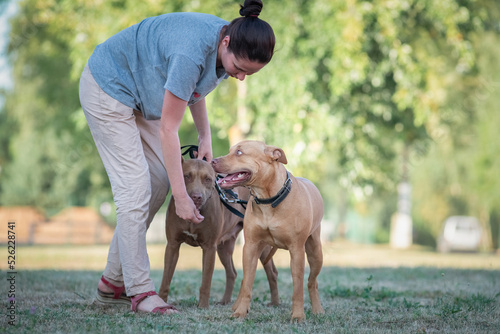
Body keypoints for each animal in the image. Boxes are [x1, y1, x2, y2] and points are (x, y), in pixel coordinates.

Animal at [158, 158, 280, 310]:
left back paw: (275, 302)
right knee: (232, 272)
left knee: (272, 273)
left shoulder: (209, 248)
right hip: (224, 248)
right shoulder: (172, 245)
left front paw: (203, 306)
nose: (197, 197)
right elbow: (165, 279)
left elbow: (206, 281)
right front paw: (162, 302)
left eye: (208, 179)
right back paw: (225, 301)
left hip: (260, 247)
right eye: (186, 176)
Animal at [213, 140, 326, 320]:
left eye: (239, 152)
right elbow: (247, 283)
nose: (212, 161)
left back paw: (317, 309)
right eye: (230, 150)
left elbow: (298, 287)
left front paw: (298, 315)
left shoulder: (297, 251)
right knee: (245, 280)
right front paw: (240, 311)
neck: (268, 199)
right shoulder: (250, 247)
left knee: (312, 281)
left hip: (315, 252)